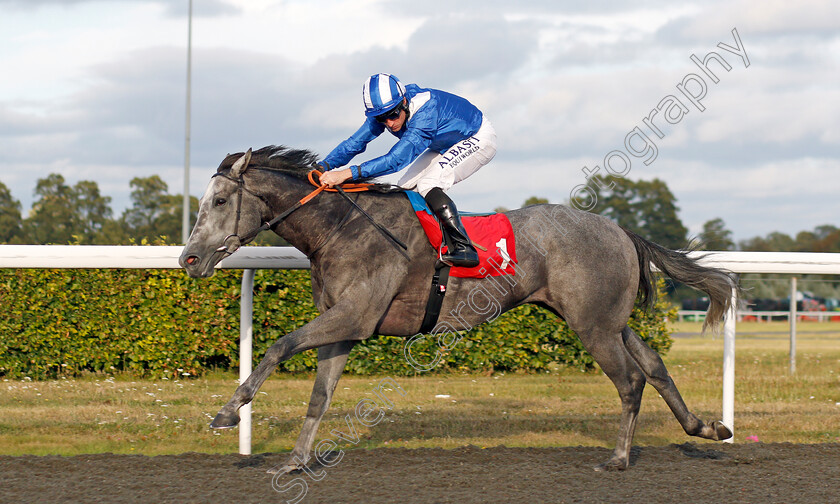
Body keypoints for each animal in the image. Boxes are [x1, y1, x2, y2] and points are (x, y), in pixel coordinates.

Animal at [179, 145, 736, 472]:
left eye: (221, 201)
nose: (189, 258)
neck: (340, 227)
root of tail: (621, 230)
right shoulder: (343, 326)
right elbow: (319, 395)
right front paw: (296, 461)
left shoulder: (354, 315)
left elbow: (278, 345)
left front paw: (227, 413)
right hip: (606, 320)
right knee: (654, 366)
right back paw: (705, 427)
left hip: (593, 325)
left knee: (630, 380)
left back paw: (619, 458)